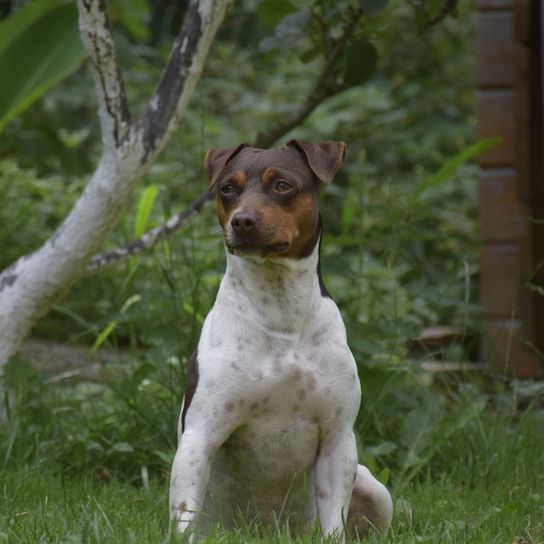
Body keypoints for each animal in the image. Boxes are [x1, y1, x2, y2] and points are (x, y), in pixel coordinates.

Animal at [168, 140, 394, 540]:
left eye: (283, 185)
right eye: (227, 188)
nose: (242, 220)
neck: (279, 312)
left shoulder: (337, 438)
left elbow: (333, 516)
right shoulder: (199, 435)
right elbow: (184, 512)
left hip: (374, 488)